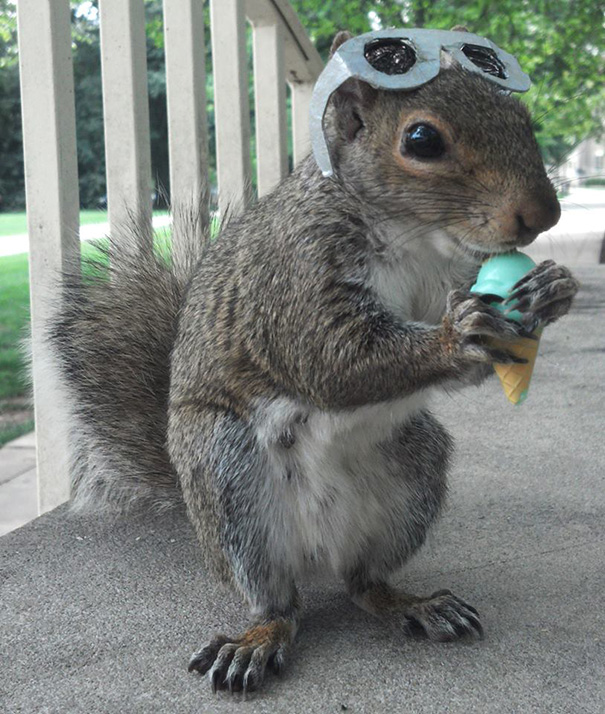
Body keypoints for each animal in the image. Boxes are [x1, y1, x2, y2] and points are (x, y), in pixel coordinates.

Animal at [49, 29, 579, 694]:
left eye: (523, 120)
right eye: (421, 140)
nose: (544, 215)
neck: (414, 238)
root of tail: (317, 552)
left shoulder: (447, 275)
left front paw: (551, 290)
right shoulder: (294, 274)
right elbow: (333, 359)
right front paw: (459, 336)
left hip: (415, 470)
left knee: (363, 583)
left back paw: (413, 603)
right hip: (227, 477)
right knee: (278, 603)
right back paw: (256, 640)